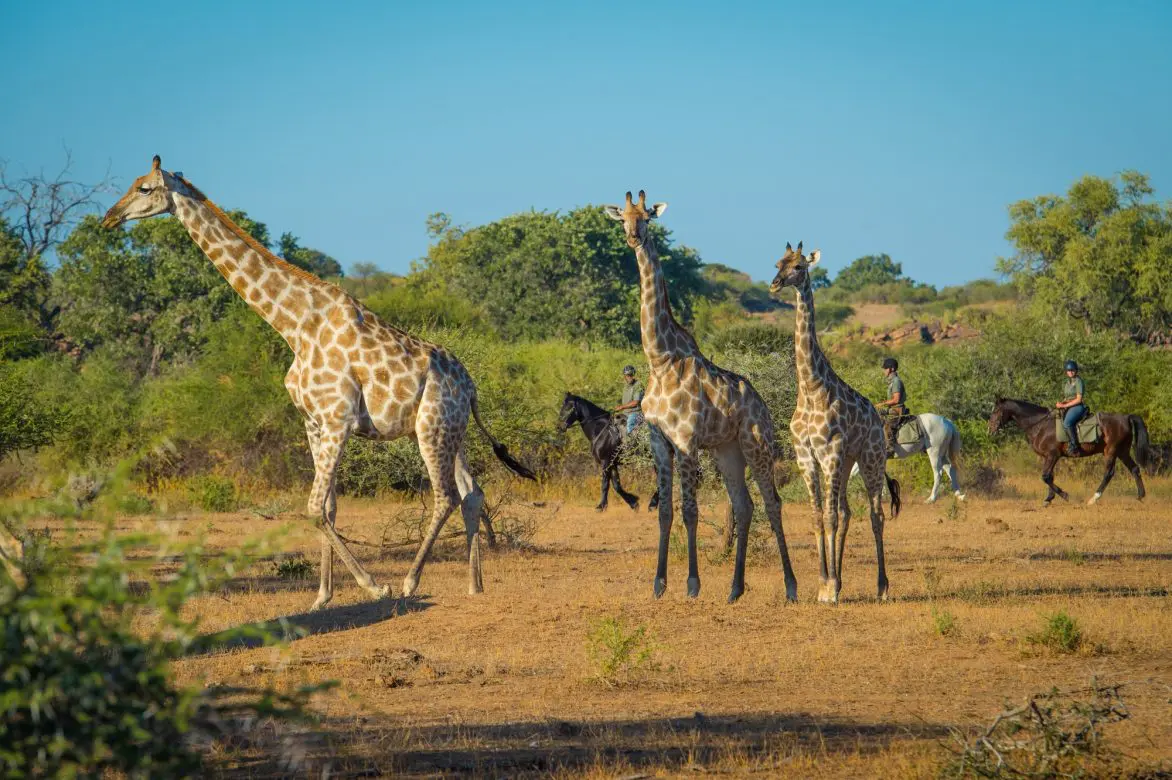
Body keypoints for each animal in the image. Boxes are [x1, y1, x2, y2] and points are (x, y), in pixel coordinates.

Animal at [103, 156, 536, 609]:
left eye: (145, 188)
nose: (109, 218)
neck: (294, 326)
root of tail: (471, 387)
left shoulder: (337, 420)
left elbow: (312, 507)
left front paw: (372, 585)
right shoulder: (312, 423)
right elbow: (327, 509)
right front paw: (322, 597)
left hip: (431, 429)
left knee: (446, 495)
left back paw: (409, 581)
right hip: (452, 430)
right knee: (472, 493)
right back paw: (475, 585)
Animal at [604, 188, 796, 599]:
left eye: (648, 216)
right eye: (623, 218)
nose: (633, 236)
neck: (660, 360)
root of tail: (763, 404)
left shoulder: (686, 440)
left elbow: (690, 511)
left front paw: (692, 584)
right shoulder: (660, 441)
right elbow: (665, 511)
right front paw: (659, 584)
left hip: (756, 443)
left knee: (772, 502)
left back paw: (791, 587)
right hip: (728, 451)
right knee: (744, 506)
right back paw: (735, 589)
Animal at [764, 241, 900, 599]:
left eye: (799, 266)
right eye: (778, 263)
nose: (774, 284)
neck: (811, 388)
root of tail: (878, 419)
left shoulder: (831, 453)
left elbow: (829, 518)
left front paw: (832, 586)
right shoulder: (807, 457)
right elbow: (817, 517)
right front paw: (825, 584)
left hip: (870, 458)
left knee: (875, 514)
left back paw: (882, 586)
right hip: (848, 461)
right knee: (846, 511)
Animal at [984, 395, 1148, 503]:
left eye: (996, 411)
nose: (990, 430)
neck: (1040, 424)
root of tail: (1126, 417)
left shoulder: (1053, 455)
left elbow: (1045, 476)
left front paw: (1064, 495)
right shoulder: (1047, 457)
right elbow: (1049, 476)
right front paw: (1049, 498)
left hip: (1111, 451)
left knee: (1109, 473)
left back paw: (1093, 499)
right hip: (1122, 451)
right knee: (1134, 469)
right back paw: (1140, 496)